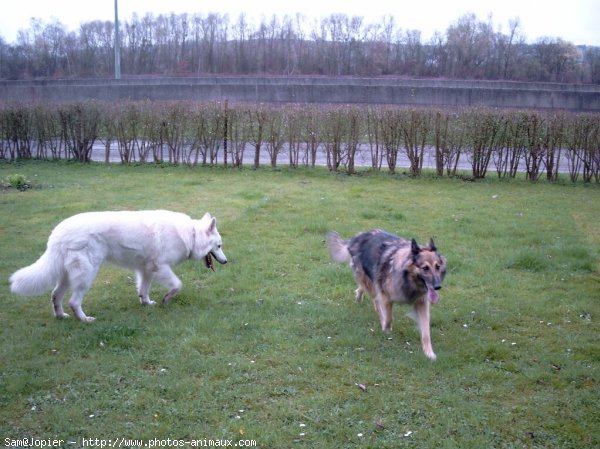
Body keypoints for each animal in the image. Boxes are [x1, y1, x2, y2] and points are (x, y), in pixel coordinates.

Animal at [9, 210, 227, 322]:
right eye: (219, 246)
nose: (226, 261)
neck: (191, 234)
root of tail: (57, 233)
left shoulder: (147, 270)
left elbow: (143, 289)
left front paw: (146, 303)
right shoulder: (161, 267)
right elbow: (177, 285)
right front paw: (166, 299)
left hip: (67, 276)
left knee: (55, 295)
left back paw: (61, 315)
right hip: (86, 275)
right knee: (73, 301)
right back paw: (84, 319)